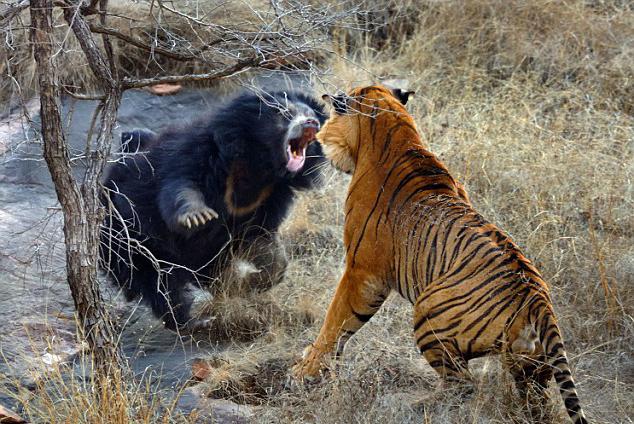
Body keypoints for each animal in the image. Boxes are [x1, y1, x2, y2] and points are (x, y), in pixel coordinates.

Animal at [101, 92, 326, 332]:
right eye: (285, 113)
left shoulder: (268, 198)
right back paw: (191, 321)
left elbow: (262, 242)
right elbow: (181, 186)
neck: (260, 165)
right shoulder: (199, 154)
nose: (311, 123)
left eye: (311, 114)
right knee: (160, 285)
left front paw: (248, 283)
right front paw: (197, 217)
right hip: (130, 241)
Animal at [292, 84, 588, 422]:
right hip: (529, 362)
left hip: (428, 312)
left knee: (462, 385)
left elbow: (336, 321)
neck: (396, 130)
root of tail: (539, 299)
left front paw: (306, 370)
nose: (318, 137)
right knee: (534, 395)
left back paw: (411, 404)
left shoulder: (362, 270)